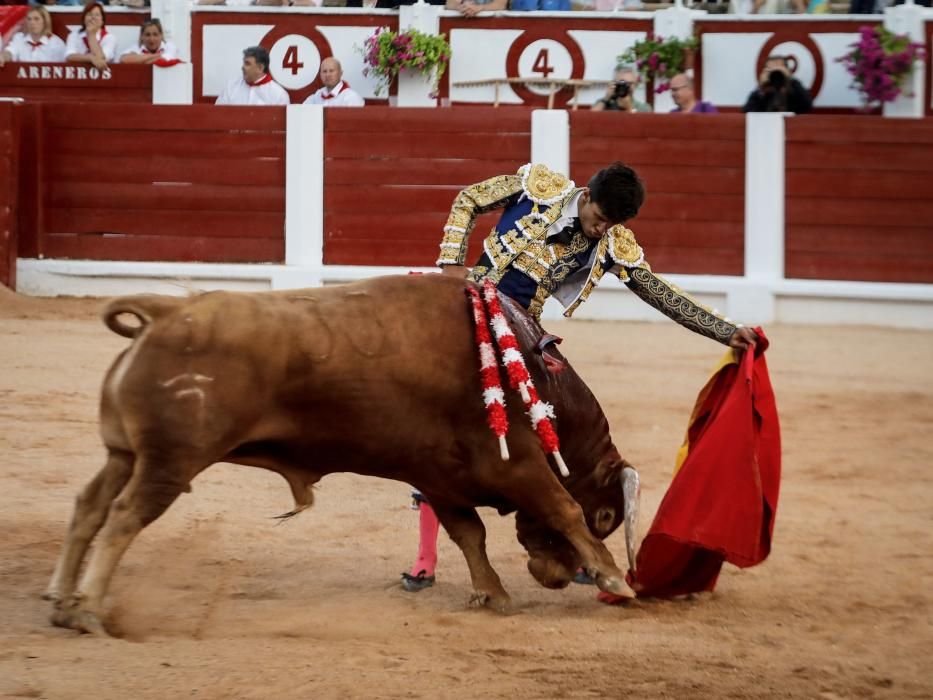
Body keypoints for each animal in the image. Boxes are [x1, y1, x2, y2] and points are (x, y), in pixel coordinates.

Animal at [47, 274, 636, 636]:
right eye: (608, 514)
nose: (556, 576)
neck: (534, 377)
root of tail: (168, 310)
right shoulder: (518, 465)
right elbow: (561, 508)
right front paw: (615, 579)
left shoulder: (441, 478)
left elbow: (469, 536)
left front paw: (492, 595)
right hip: (168, 464)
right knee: (123, 517)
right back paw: (90, 610)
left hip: (124, 454)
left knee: (89, 507)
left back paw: (62, 600)